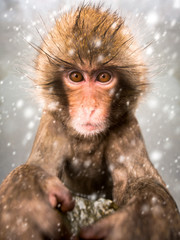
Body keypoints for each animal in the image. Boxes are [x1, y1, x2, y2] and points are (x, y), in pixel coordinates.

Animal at [0, 3, 180, 240]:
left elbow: (143, 181)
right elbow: (39, 165)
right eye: (76, 76)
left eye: (103, 77)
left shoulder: (126, 128)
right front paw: (28, 195)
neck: (87, 140)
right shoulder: (53, 123)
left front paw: (137, 221)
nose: (89, 108)